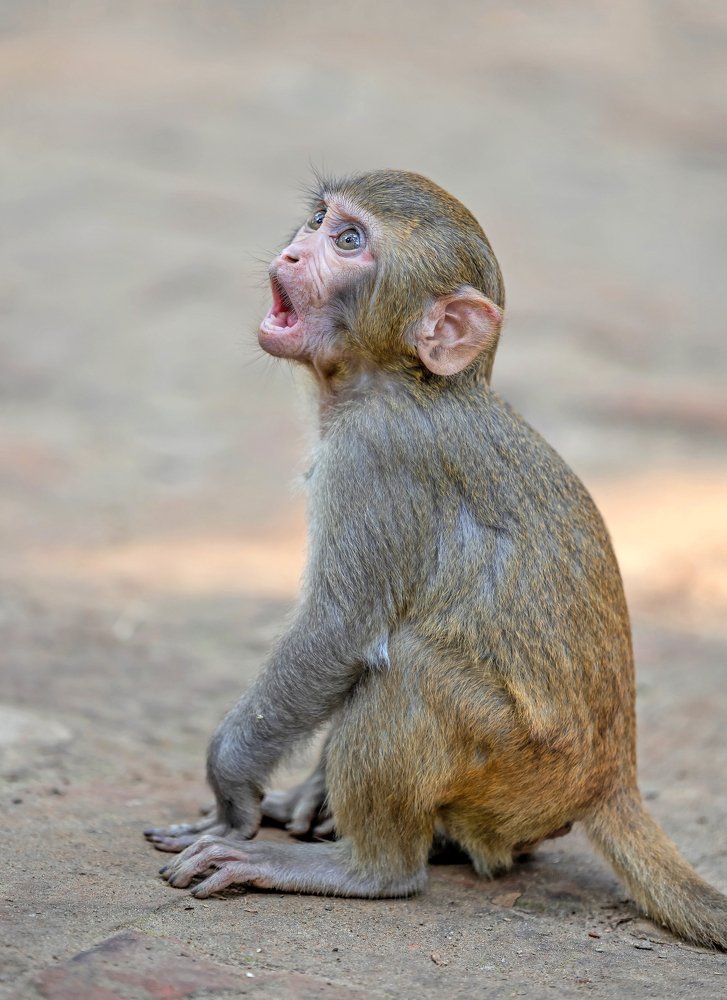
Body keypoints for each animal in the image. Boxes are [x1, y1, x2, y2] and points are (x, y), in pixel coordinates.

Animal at [144, 170, 727, 949]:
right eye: (319, 221)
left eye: (349, 241)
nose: (294, 252)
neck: (402, 378)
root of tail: (611, 779)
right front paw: (307, 792)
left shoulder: (372, 458)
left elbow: (339, 631)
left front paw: (231, 787)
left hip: (519, 770)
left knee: (411, 668)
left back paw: (370, 870)